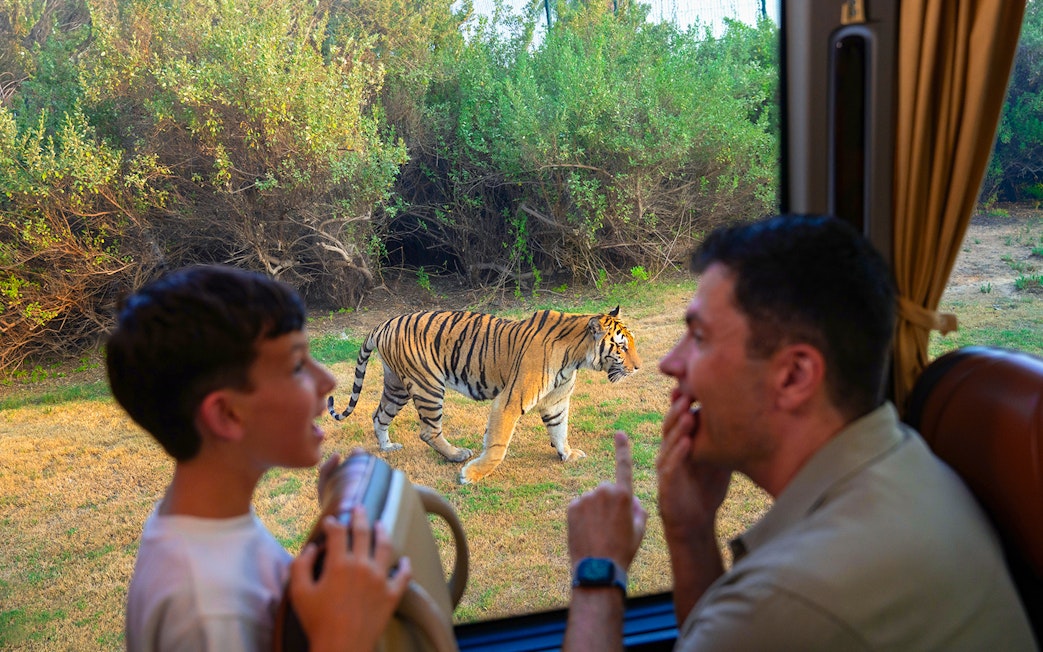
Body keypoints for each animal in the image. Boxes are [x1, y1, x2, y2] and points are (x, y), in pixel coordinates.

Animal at [326, 306, 641, 484]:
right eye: (622, 347)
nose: (638, 367)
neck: (576, 356)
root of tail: (383, 324)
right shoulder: (510, 400)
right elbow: (498, 443)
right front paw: (473, 474)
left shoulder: (556, 401)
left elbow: (559, 430)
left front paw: (567, 454)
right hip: (428, 385)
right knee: (428, 431)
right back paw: (456, 455)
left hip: (397, 386)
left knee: (379, 415)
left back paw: (387, 447)